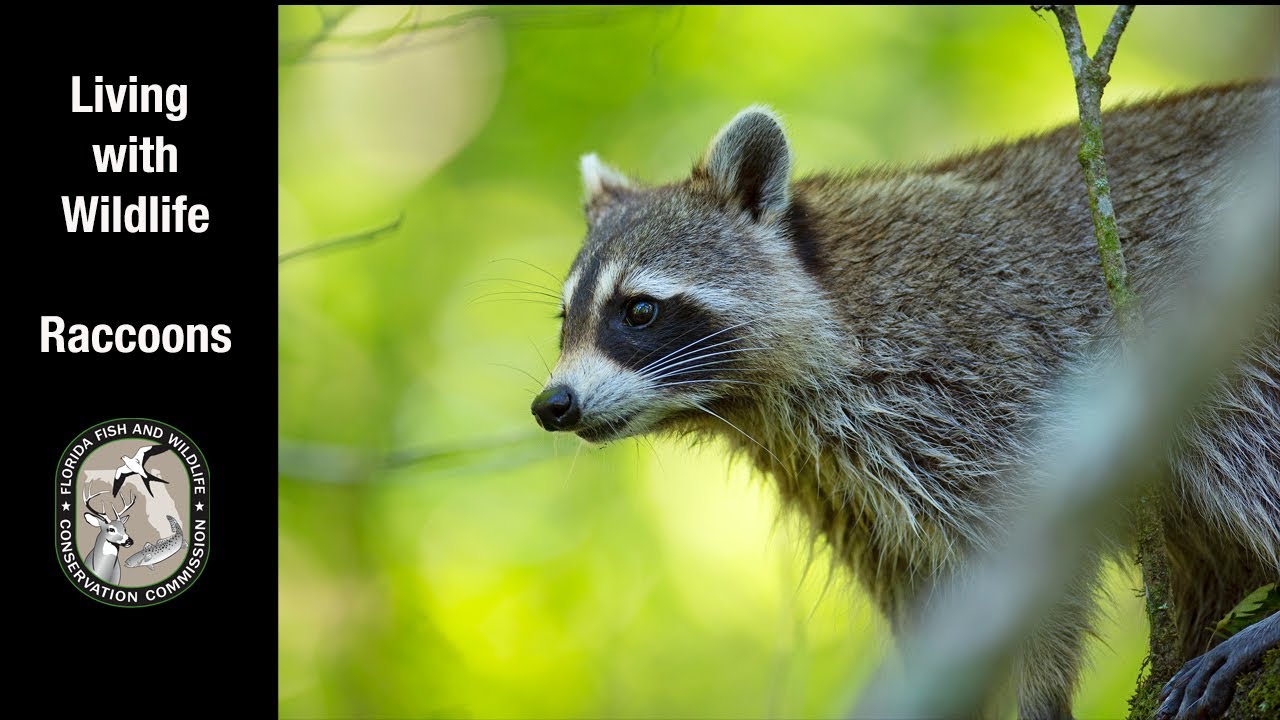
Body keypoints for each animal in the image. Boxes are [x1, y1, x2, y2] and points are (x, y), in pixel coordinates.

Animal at [531, 82, 1279, 719]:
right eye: (566, 319)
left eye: (639, 310)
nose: (552, 405)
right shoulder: (839, 483)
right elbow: (925, 598)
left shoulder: (983, 384)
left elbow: (1039, 572)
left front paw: (1040, 695)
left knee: (1237, 434)